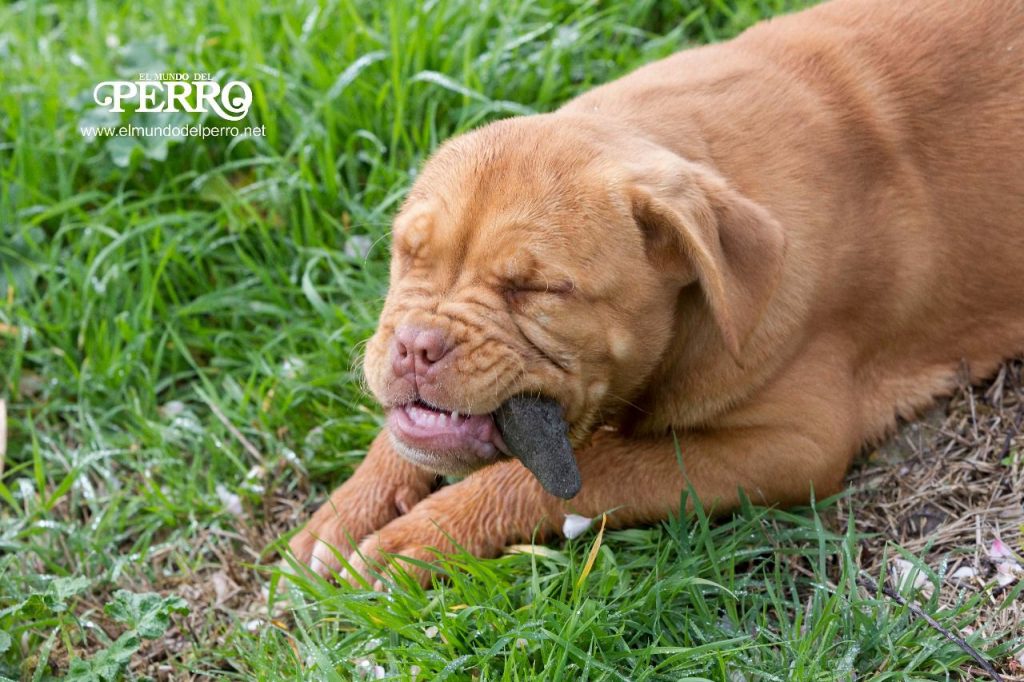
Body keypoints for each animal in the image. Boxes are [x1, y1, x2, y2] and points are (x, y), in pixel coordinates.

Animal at [288, 0, 1024, 585]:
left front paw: (420, 536)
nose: (415, 345)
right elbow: (403, 431)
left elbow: (592, 468)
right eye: (409, 255)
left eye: (536, 288)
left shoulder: (789, 447)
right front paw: (348, 510)